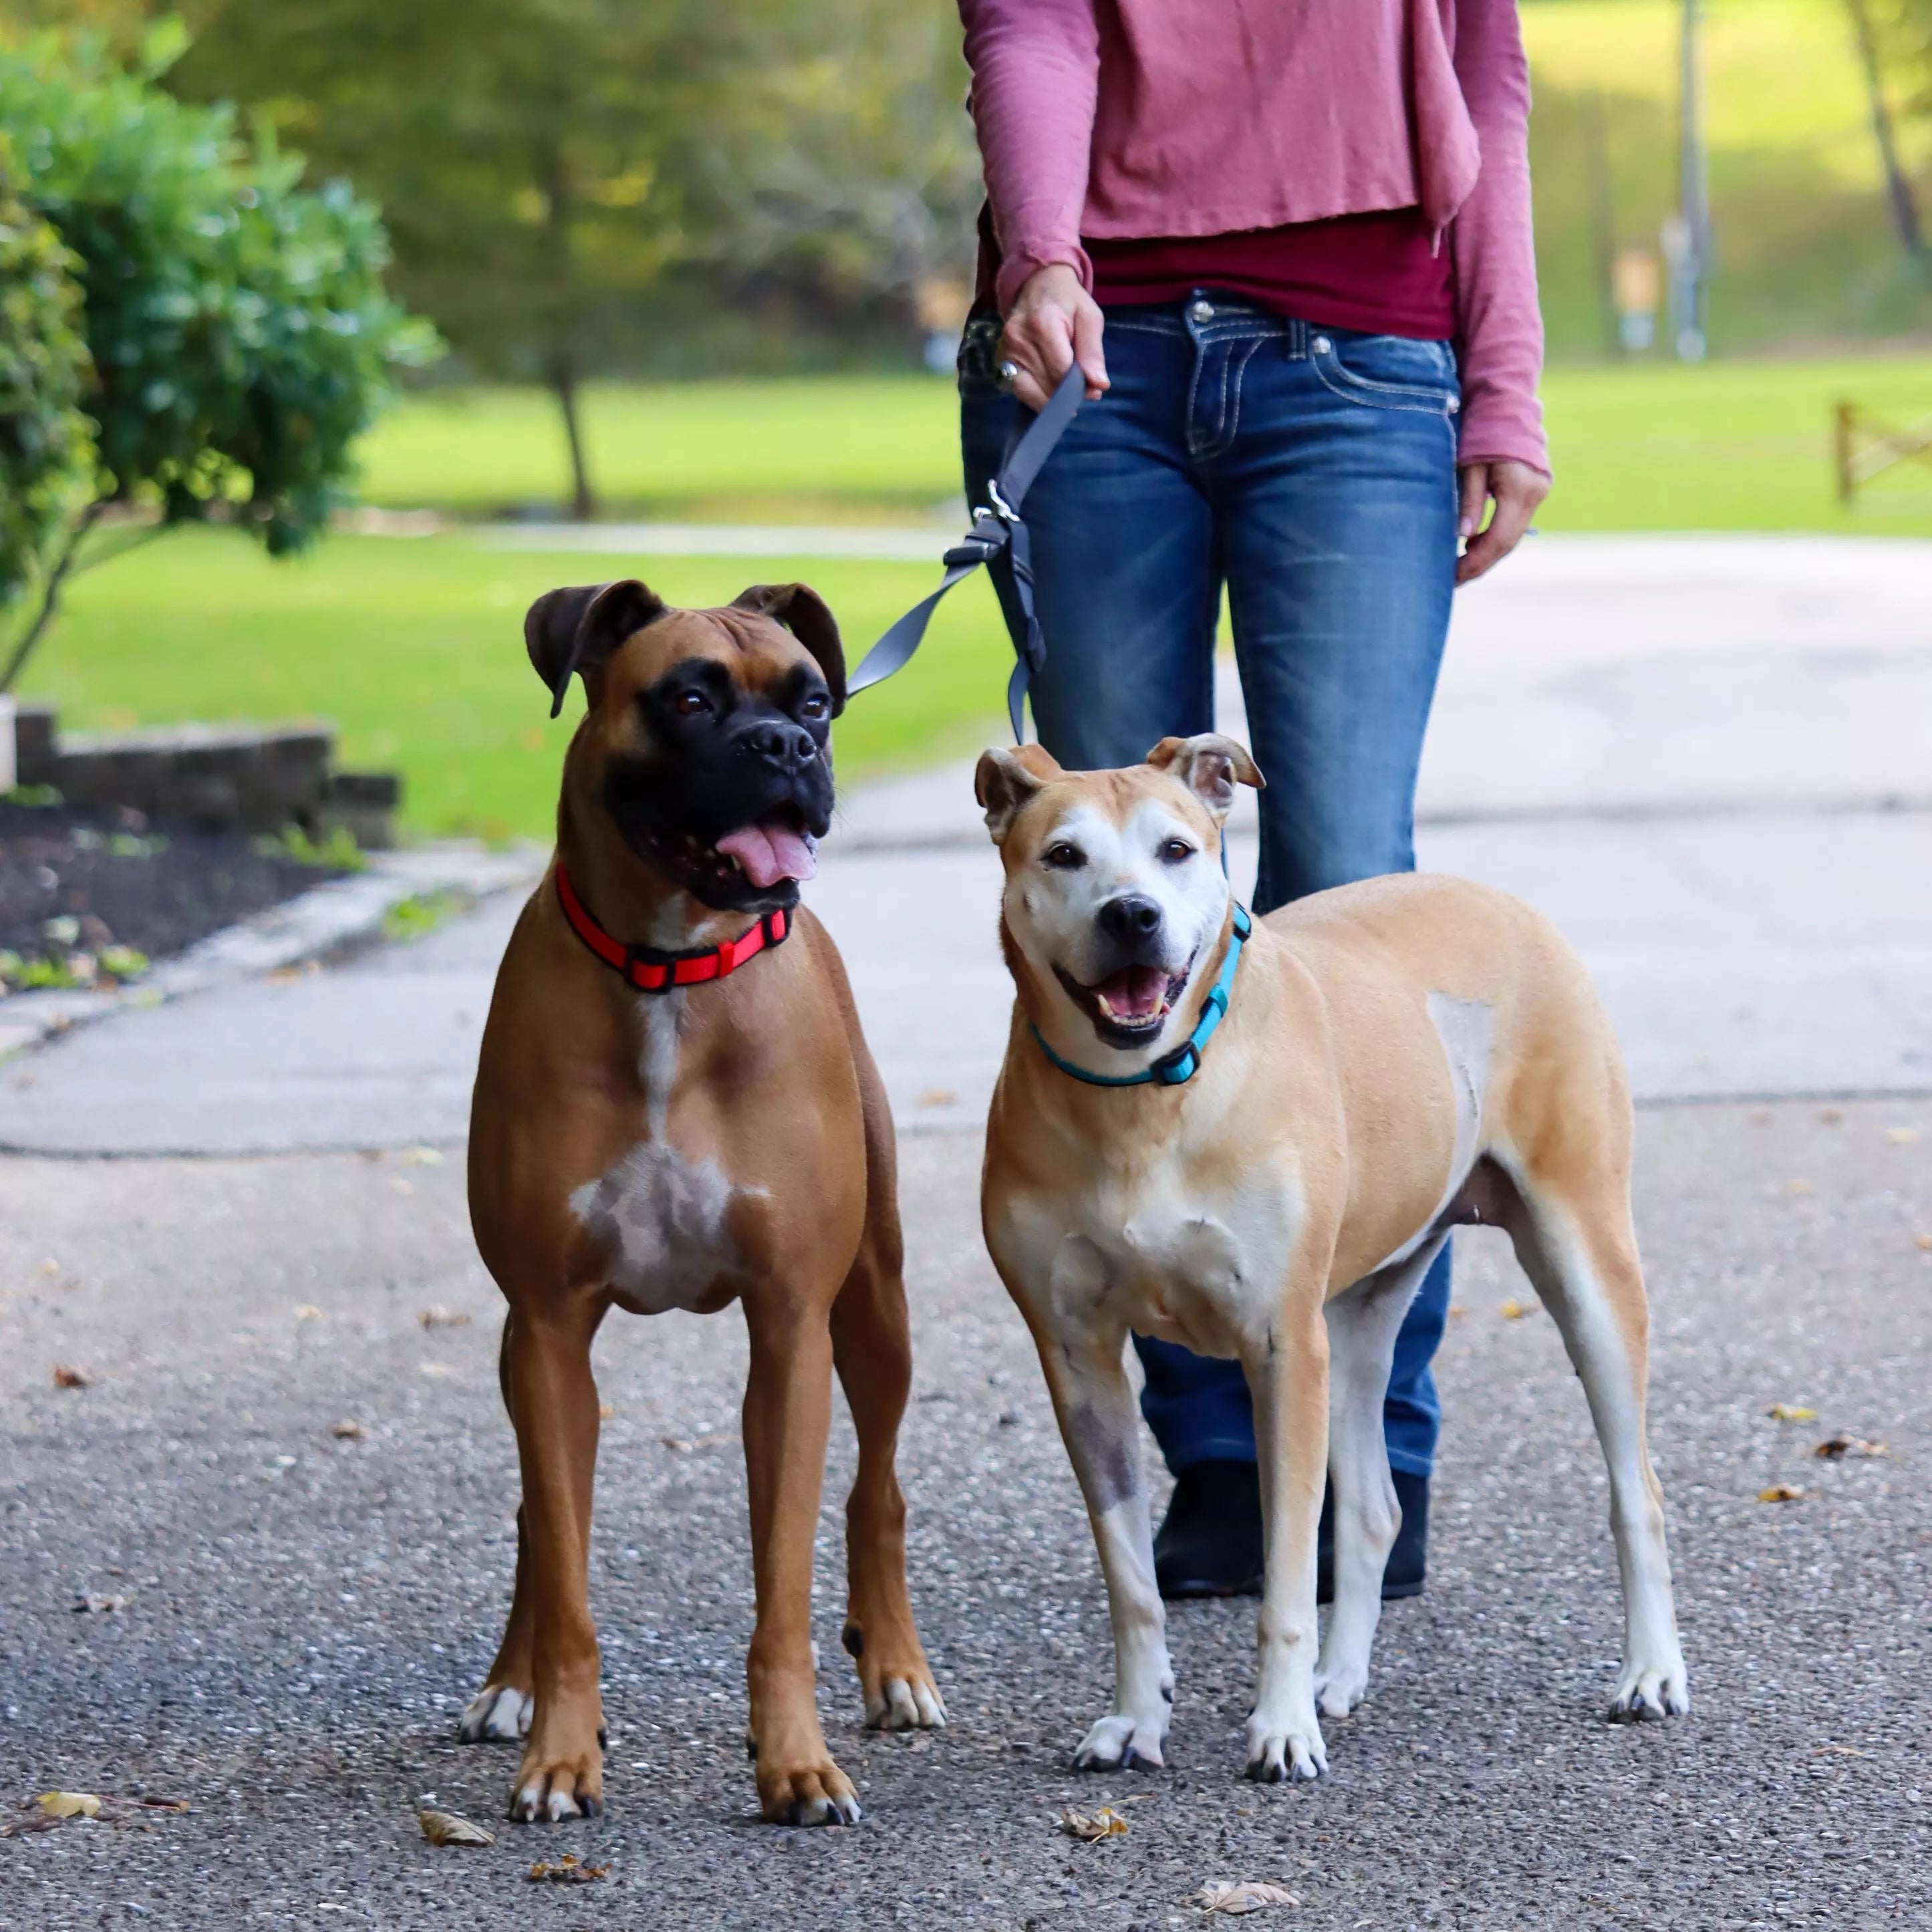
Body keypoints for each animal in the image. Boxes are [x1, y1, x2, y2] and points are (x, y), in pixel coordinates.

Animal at [467, 575, 950, 1824]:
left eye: (814, 698)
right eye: (688, 698)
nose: (786, 744)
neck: (666, 971)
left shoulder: (789, 1328)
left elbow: (782, 1581)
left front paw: (794, 1762)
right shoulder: (548, 1330)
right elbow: (565, 1566)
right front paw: (560, 1750)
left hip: (874, 1313)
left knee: (878, 1490)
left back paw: (895, 1665)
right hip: (518, 1350)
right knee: (535, 1519)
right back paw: (508, 1683)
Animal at [974, 734, 1684, 1777]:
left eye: (1175, 849)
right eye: (1062, 855)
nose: (1131, 913)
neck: (1143, 1096)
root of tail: (1497, 898)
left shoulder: (1279, 1344)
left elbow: (1281, 1572)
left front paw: (1276, 1731)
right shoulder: (1075, 1359)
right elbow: (1129, 1577)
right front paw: (1134, 1717)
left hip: (1579, 1254)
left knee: (1635, 1486)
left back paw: (1648, 1672)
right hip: (1354, 1316)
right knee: (1370, 1507)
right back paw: (1338, 1676)